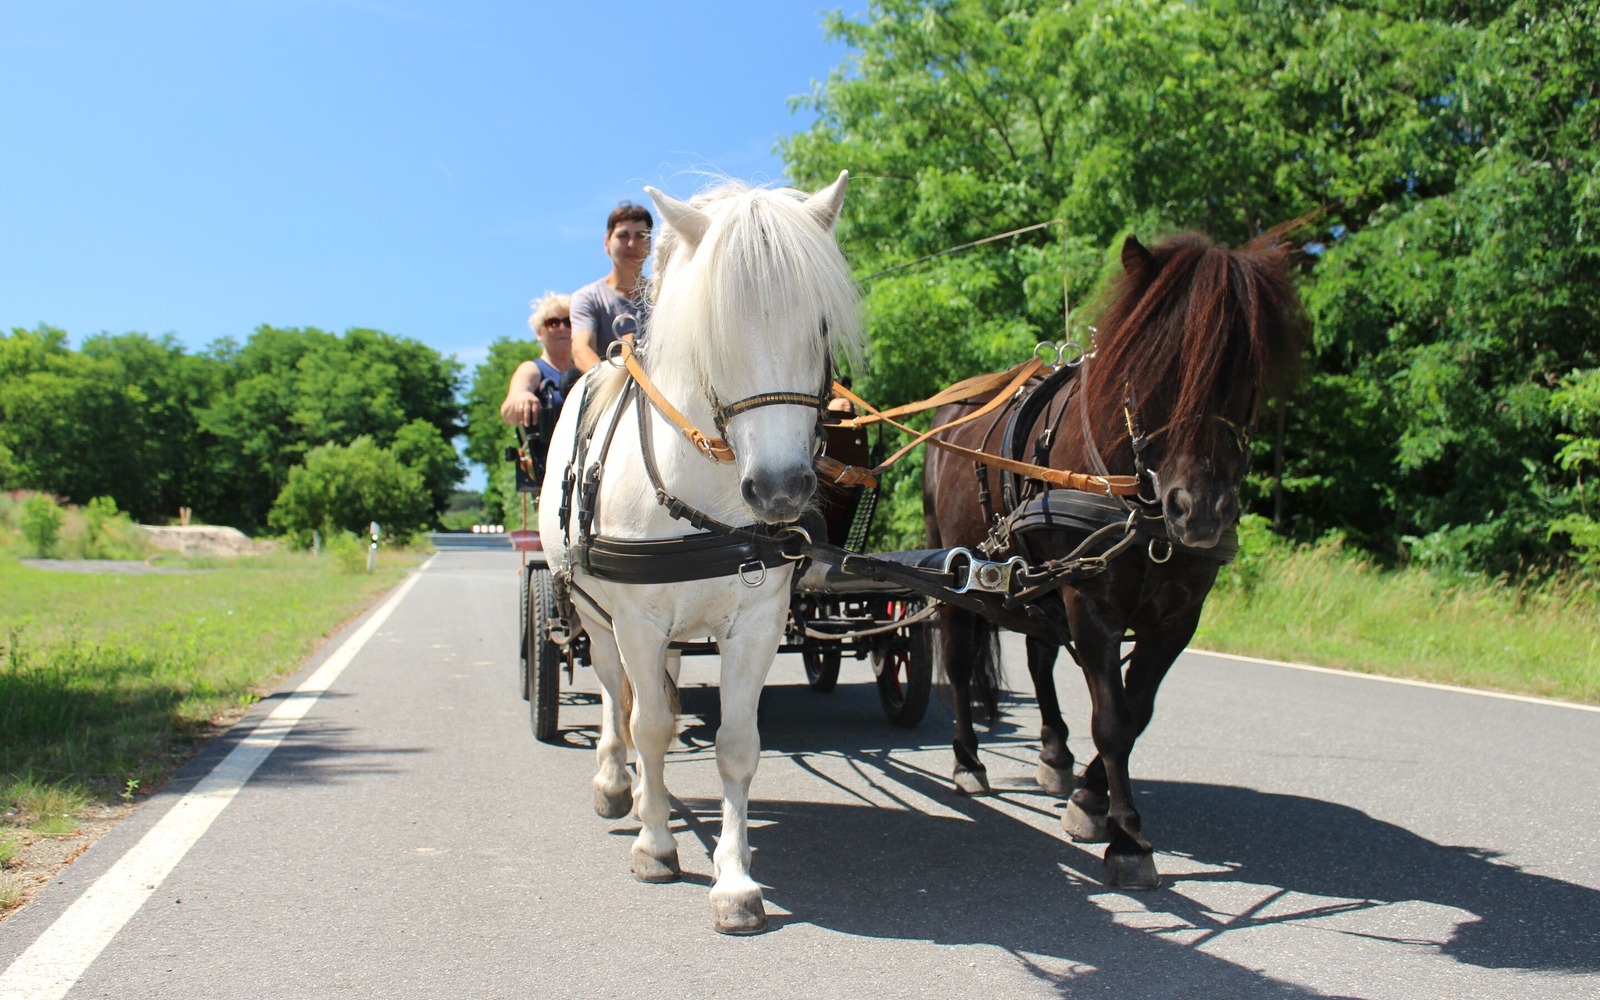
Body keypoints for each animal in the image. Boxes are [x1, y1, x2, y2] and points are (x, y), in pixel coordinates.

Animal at [537, 173, 863, 933]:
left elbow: (737, 746)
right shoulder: (636, 619)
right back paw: (614, 783)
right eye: (714, 332)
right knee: (616, 692)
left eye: (820, 325)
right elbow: (650, 725)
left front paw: (735, 882)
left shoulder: (757, 626)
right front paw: (657, 845)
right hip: (593, 612)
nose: (779, 489)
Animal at [923, 229, 1303, 888]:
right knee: (962, 662)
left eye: (1247, 372)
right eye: (1156, 366)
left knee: (1039, 659)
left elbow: (1135, 710)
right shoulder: (1092, 601)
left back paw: (1054, 752)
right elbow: (1111, 718)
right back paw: (968, 760)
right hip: (960, 575)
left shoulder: (1177, 616)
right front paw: (1126, 838)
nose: (1200, 512)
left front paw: (1090, 797)